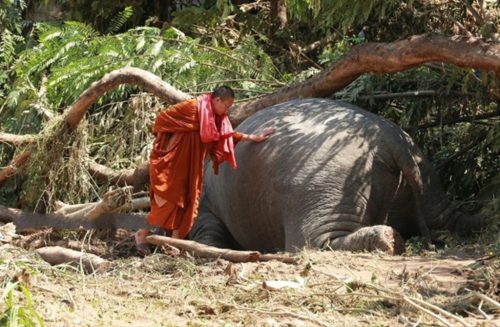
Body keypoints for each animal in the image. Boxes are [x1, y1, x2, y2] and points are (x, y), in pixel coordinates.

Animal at [189, 98, 482, 255]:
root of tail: (389, 139)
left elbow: (206, 231)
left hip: (325, 187)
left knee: (315, 242)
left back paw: (388, 239)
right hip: (424, 176)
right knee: (447, 217)